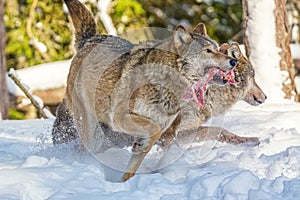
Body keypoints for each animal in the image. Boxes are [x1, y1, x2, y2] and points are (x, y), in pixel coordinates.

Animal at [57, 0, 238, 181]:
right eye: (208, 51)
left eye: (218, 48)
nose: (234, 60)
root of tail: (90, 39)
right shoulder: (121, 117)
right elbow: (154, 131)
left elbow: (135, 162)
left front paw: (125, 182)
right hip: (90, 128)